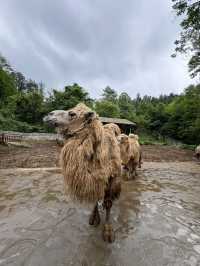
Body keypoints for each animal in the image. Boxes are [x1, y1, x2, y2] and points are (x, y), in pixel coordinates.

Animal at [43, 103, 121, 243]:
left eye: (72, 114)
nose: (48, 115)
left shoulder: (112, 178)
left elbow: (108, 204)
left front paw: (108, 231)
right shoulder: (96, 179)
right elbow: (95, 196)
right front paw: (94, 218)